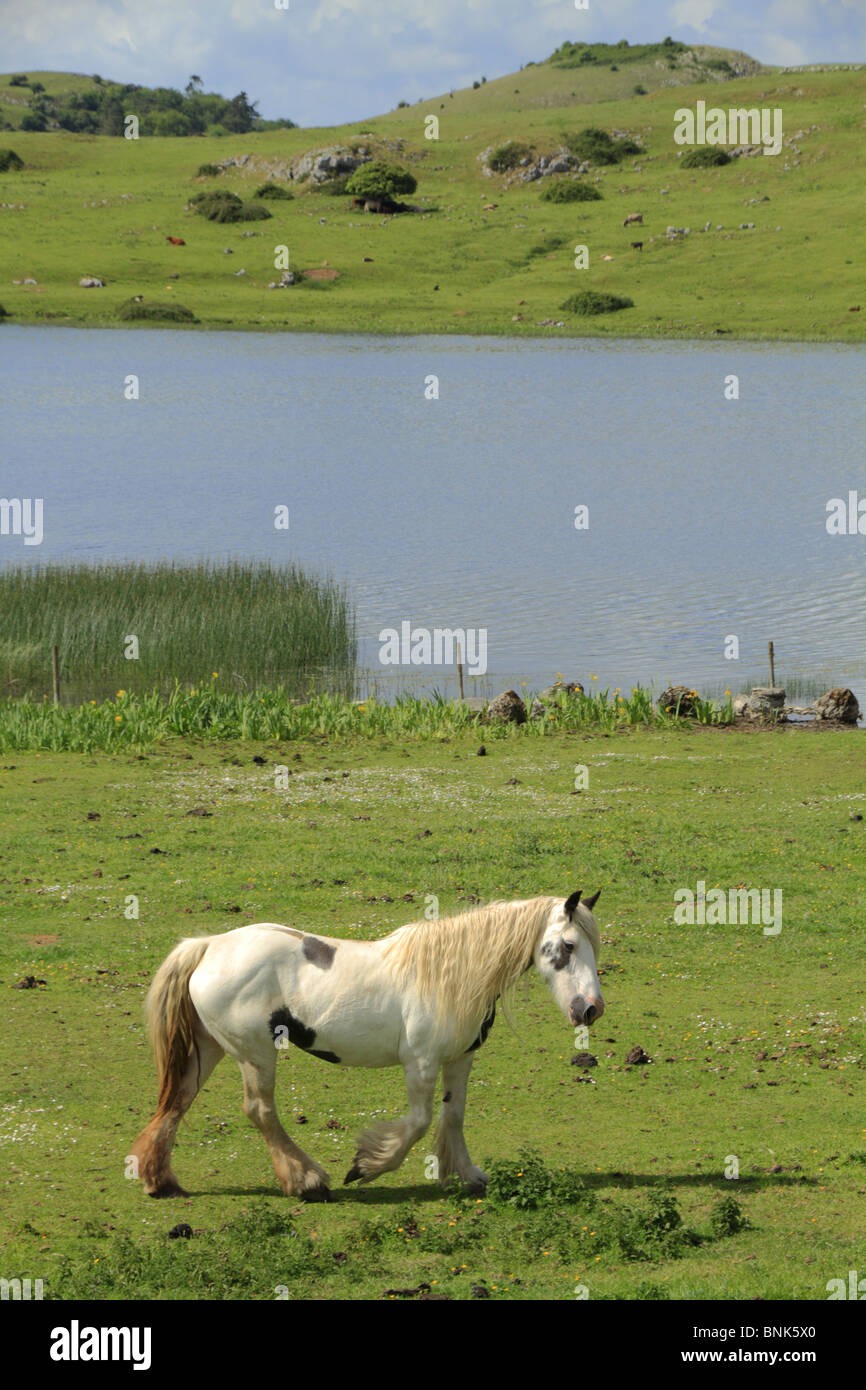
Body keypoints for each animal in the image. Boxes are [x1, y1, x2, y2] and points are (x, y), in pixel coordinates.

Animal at [130, 890, 603, 1202]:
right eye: (568, 946)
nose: (591, 1009)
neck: (452, 975)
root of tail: (209, 946)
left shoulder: (460, 1059)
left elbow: (453, 1116)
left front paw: (467, 1174)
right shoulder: (421, 1063)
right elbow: (419, 1122)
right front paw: (367, 1166)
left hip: (208, 1049)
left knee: (176, 1103)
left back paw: (160, 1181)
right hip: (255, 1054)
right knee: (260, 1111)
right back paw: (306, 1182)